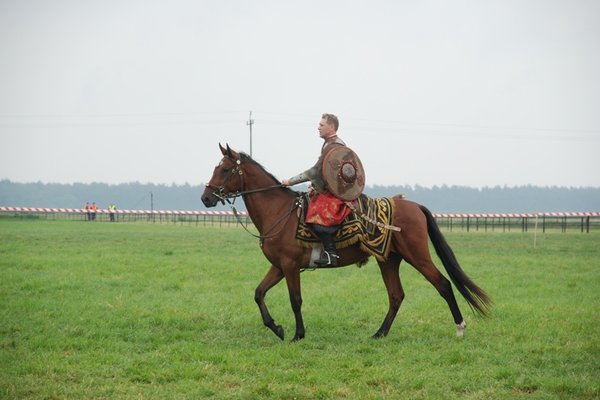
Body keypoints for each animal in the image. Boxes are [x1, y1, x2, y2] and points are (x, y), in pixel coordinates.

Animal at [199, 144, 490, 340]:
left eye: (225, 169)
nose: (205, 198)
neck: (278, 211)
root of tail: (415, 206)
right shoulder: (279, 266)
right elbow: (259, 293)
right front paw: (278, 328)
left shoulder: (290, 266)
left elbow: (295, 300)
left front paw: (298, 334)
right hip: (388, 260)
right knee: (396, 296)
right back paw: (379, 333)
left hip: (417, 256)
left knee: (443, 284)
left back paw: (459, 327)